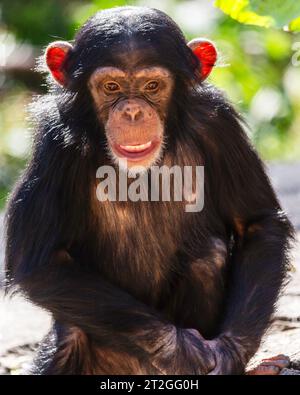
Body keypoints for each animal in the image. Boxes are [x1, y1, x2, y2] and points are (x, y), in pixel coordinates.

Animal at [5, 6, 296, 378]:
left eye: (152, 85)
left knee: (208, 256)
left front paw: (229, 351)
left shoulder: (218, 122)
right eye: (111, 87)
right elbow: (39, 262)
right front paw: (181, 349)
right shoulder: (54, 143)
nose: (132, 110)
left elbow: (257, 223)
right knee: (71, 332)